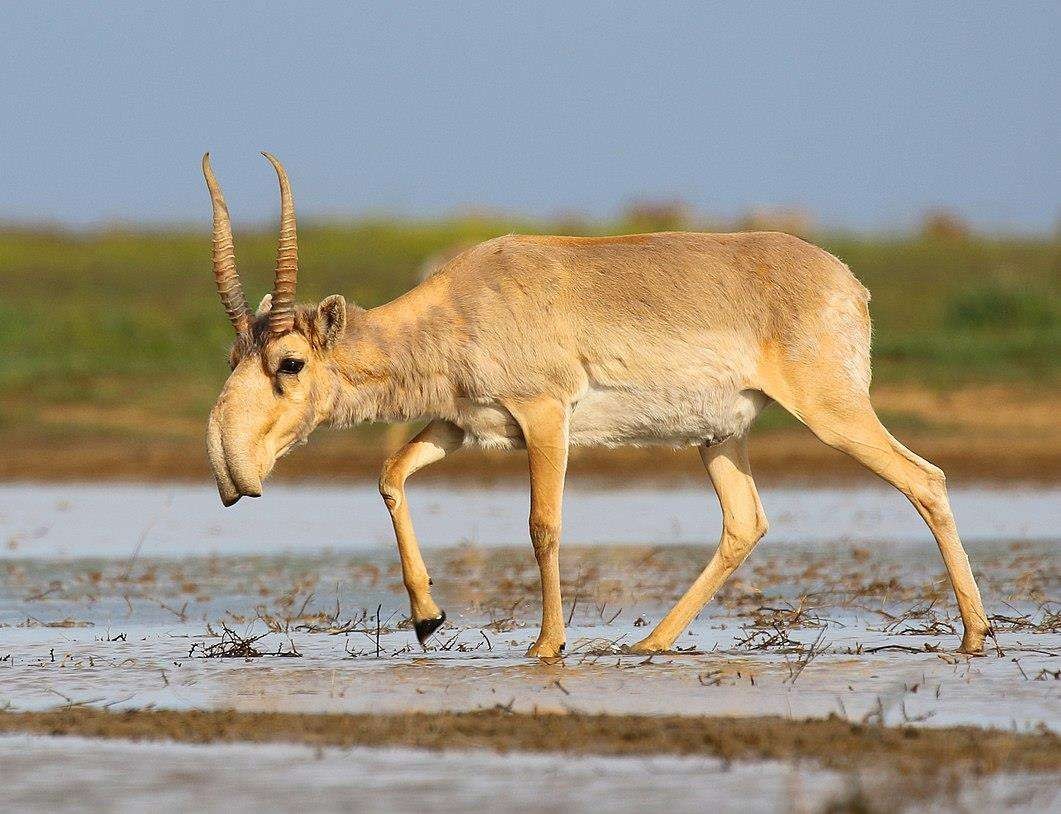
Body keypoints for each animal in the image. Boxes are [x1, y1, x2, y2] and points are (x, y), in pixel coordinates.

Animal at [202, 154, 988, 662]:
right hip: (718, 437)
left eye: (290, 362)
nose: (230, 470)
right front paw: (427, 619)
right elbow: (390, 475)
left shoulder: (545, 417)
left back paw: (976, 634)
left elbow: (542, 525)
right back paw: (651, 641)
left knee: (924, 479)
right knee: (745, 523)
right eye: (233, 354)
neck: (460, 304)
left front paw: (546, 644)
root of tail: (849, 284)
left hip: (832, 412)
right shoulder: (462, 425)